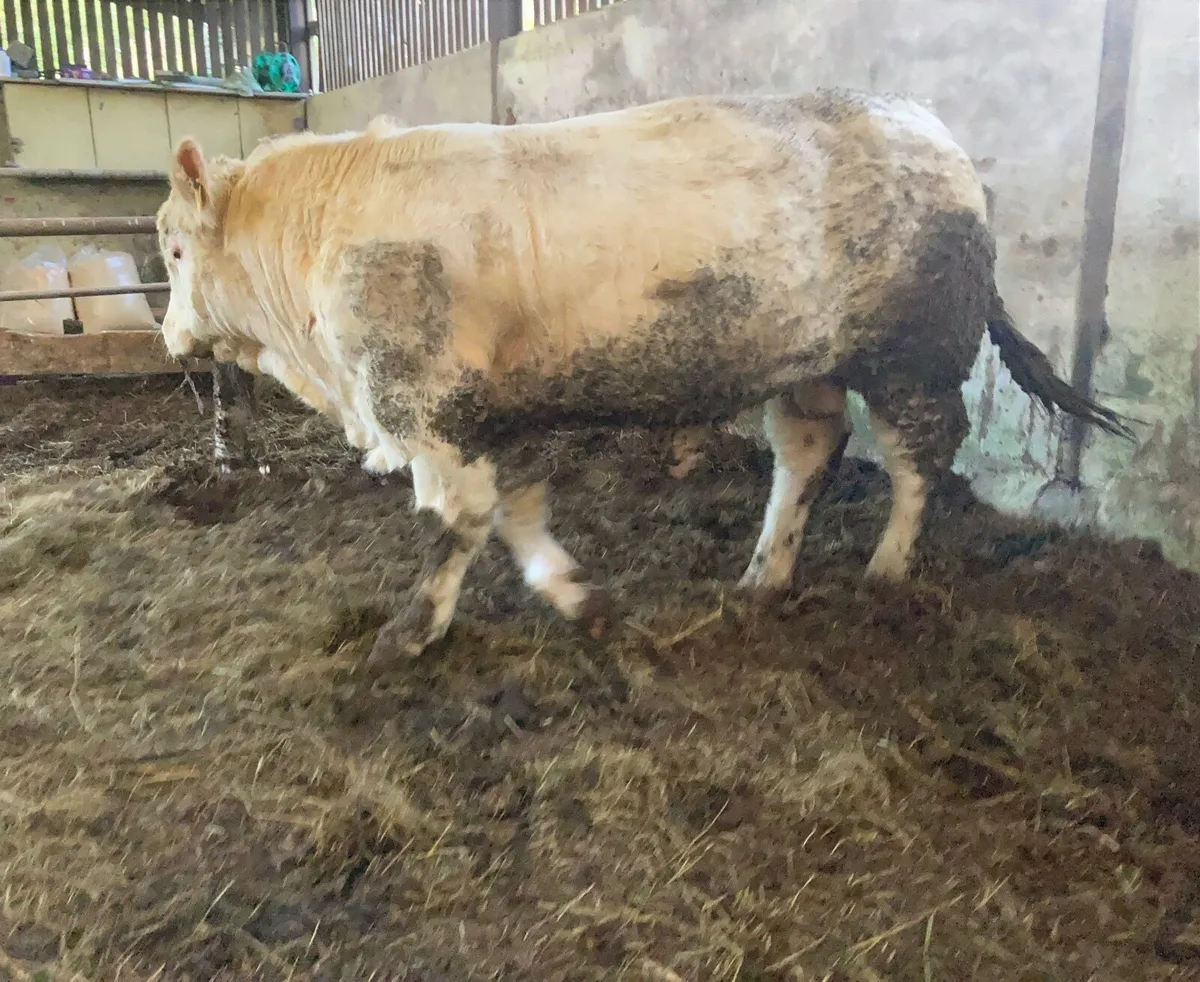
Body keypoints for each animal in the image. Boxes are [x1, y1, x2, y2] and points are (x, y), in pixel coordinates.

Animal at [154, 89, 1133, 672]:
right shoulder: (490, 418)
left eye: (170, 249)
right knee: (810, 449)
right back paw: (764, 575)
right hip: (807, 360)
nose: (168, 335)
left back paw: (888, 571)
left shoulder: (426, 406)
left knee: (920, 461)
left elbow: (454, 523)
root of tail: (930, 130)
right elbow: (512, 513)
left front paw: (409, 634)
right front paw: (578, 597)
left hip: (914, 355)